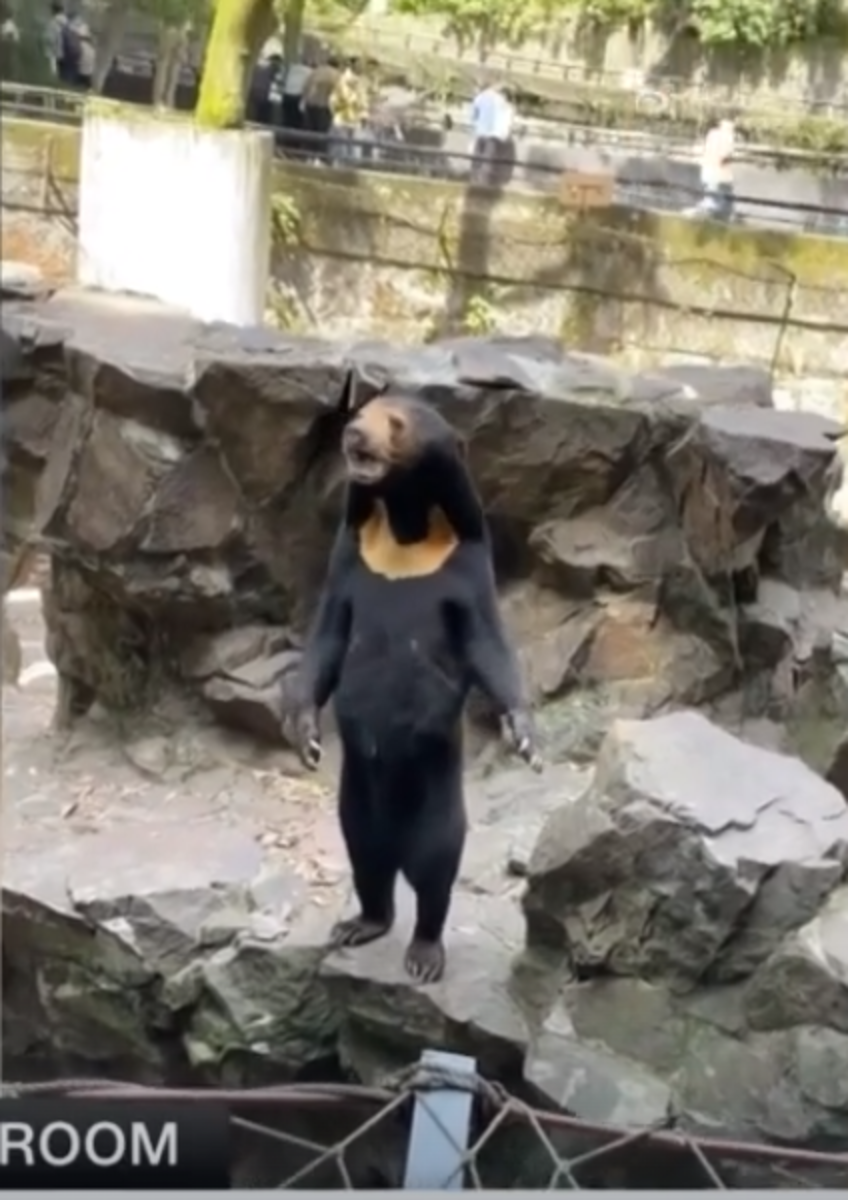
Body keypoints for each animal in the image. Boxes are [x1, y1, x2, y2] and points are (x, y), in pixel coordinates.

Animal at [287, 386, 540, 984]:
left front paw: (524, 736)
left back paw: (424, 954)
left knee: (434, 869)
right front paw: (307, 740)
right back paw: (360, 924)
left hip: (436, 802)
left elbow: (488, 644)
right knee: (366, 859)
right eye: (362, 411)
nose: (353, 433)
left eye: (395, 424)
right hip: (355, 805)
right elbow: (329, 634)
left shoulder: (464, 566)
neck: (404, 531)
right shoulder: (351, 555)